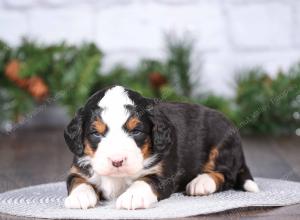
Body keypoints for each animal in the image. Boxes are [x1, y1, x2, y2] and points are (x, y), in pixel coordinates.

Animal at [64, 84, 258, 210]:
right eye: (95, 133)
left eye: (136, 131)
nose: (117, 161)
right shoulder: (78, 168)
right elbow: (77, 181)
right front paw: (80, 196)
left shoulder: (164, 174)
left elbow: (146, 181)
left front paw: (133, 196)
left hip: (222, 143)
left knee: (227, 175)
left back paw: (201, 183)